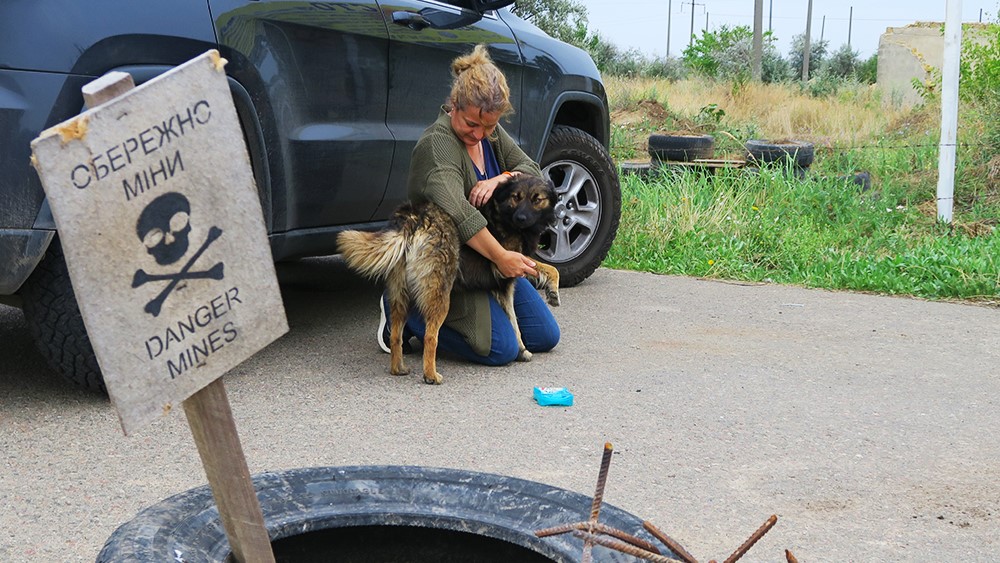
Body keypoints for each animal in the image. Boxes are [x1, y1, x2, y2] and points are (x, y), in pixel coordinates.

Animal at [338, 176, 560, 386]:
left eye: (537, 199)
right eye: (517, 197)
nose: (521, 218)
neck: (504, 212)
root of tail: (415, 216)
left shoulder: (504, 288)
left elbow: (514, 323)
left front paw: (522, 349)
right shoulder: (506, 264)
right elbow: (550, 269)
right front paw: (553, 291)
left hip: (402, 293)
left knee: (396, 334)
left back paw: (398, 367)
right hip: (440, 294)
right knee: (430, 336)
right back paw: (430, 375)